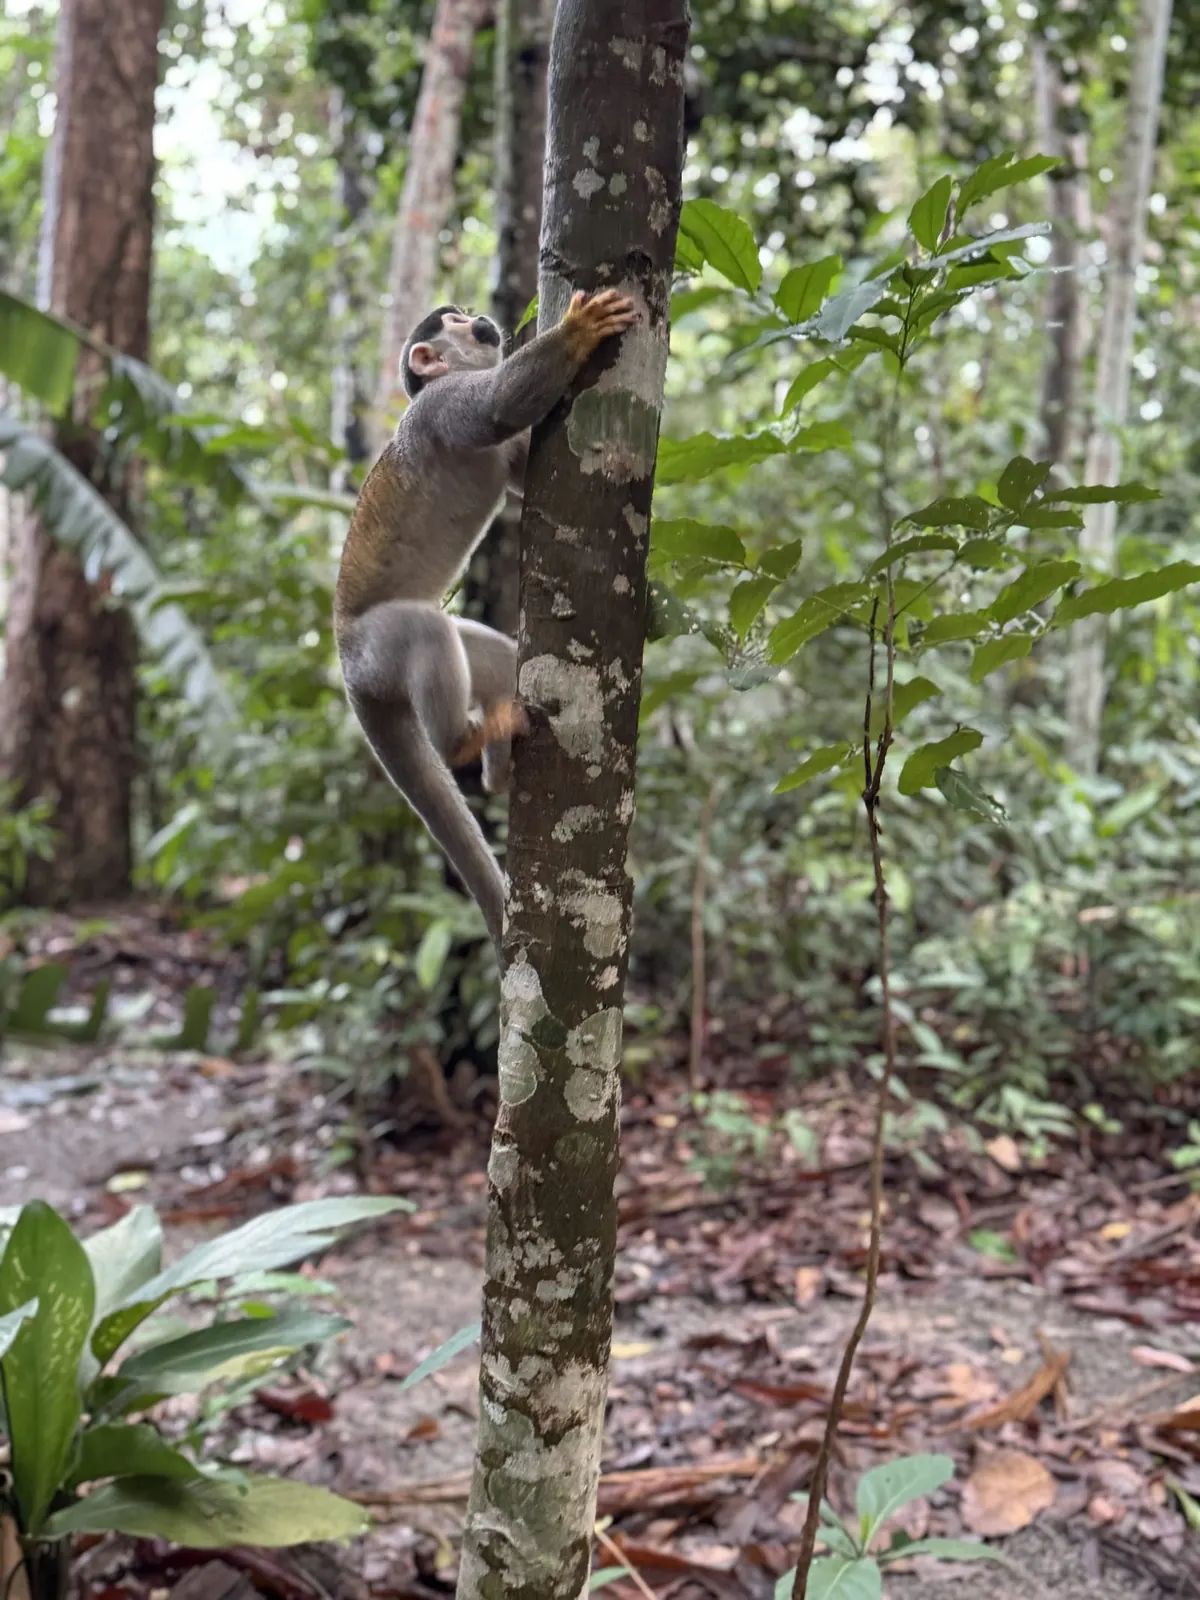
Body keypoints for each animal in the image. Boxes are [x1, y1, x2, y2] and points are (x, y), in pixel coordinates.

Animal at [334, 289, 639, 949]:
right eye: (451, 321)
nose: (477, 316)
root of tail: (345, 669)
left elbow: (523, 468)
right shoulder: (439, 407)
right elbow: (498, 409)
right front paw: (576, 332)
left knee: (488, 654)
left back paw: (499, 765)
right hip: (374, 650)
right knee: (425, 634)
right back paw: (461, 744)